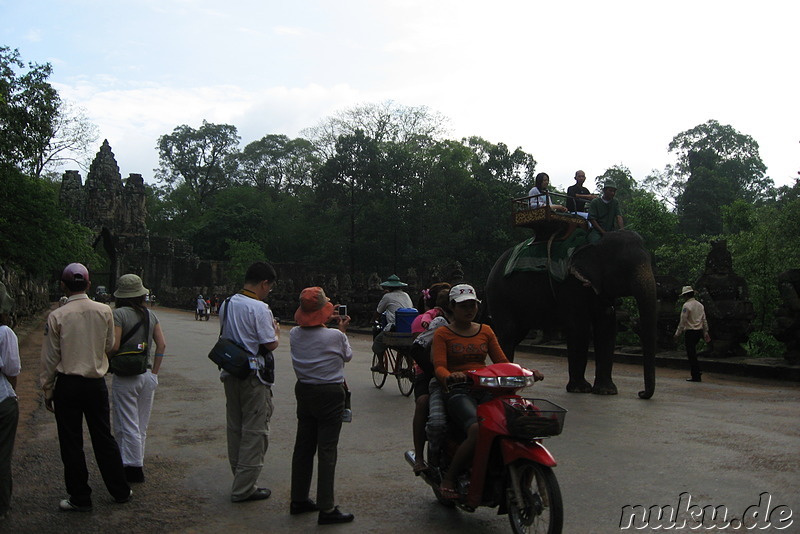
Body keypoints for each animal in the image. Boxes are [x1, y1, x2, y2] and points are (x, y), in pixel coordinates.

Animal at [484, 230, 660, 402]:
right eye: (623, 267)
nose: (641, 393)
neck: (596, 242)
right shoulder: (570, 285)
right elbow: (579, 327)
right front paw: (580, 389)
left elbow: (607, 328)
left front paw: (606, 391)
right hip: (499, 295)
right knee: (509, 333)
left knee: (516, 335)